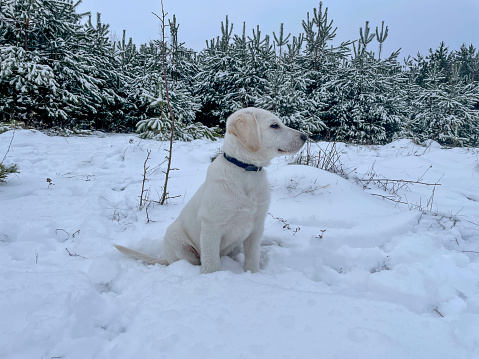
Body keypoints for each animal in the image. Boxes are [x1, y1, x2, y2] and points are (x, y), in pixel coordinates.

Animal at [115, 108, 308, 274]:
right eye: (274, 125)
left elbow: (253, 258)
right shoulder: (211, 226)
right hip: (179, 244)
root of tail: (166, 259)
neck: (245, 171)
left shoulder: (256, 227)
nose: (305, 136)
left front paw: (252, 274)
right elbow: (211, 263)